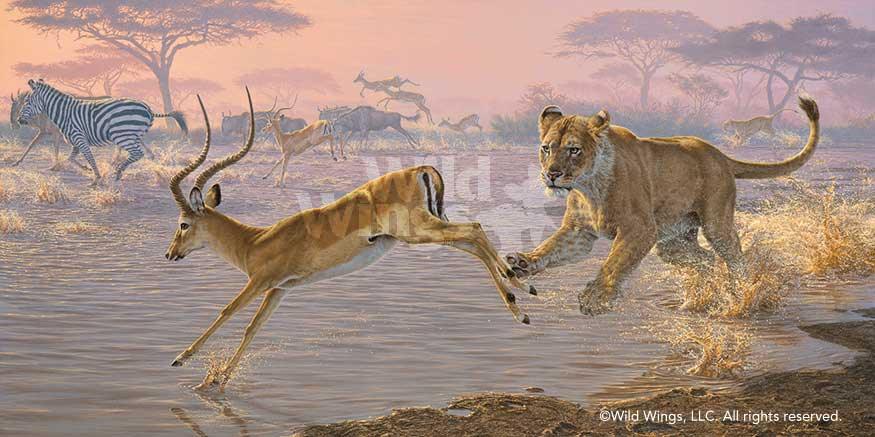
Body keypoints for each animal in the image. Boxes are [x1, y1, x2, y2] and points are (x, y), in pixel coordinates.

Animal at [505, 96, 819, 315]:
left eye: (574, 150)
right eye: (546, 148)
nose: (552, 174)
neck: (588, 187)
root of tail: (721, 155)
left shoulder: (640, 230)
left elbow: (614, 263)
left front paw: (596, 299)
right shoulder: (578, 233)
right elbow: (550, 248)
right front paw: (522, 263)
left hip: (715, 224)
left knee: (734, 257)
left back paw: (742, 294)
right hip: (672, 242)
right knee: (705, 261)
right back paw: (697, 301)